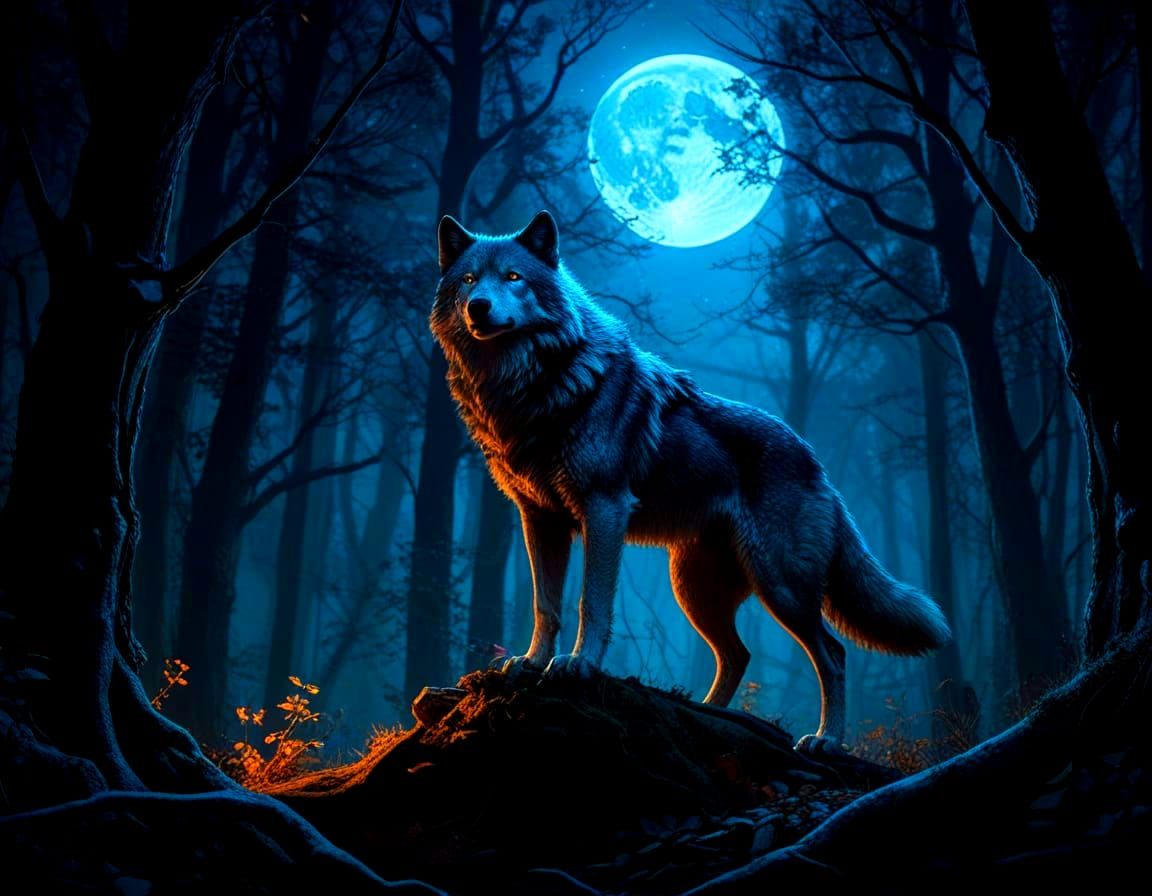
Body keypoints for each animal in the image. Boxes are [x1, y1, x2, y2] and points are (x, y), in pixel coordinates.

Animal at [431, 211, 951, 751]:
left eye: (513, 277)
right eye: (468, 280)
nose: (478, 306)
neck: (529, 386)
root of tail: (817, 464)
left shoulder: (604, 508)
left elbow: (590, 602)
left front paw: (579, 664)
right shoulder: (539, 519)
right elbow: (544, 603)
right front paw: (532, 662)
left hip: (779, 585)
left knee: (832, 652)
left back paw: (825, 740)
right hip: (695, 591)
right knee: (739, 654)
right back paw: (709, 715)